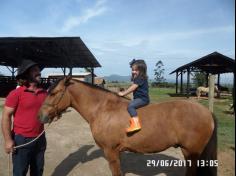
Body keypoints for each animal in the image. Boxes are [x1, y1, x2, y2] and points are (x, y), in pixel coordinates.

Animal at [38, 77, 218, 176]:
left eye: (53, 93)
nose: (40, 116)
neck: (103, 109)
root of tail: (207, 112)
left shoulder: (110, 151)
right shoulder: (117, 152)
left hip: (191, 153)